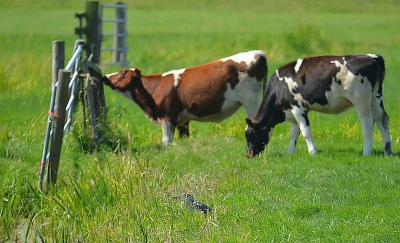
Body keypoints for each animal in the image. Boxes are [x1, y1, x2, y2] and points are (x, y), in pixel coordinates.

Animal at [103, 49, 268, 144]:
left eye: (123, 73)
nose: (105, 76)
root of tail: (258, 53)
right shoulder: (182, 120)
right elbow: (184, 138)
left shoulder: (167, 118)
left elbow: (166, 141)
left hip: (251, 101)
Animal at [245, 53, 392, 158]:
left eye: (250, 134)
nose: (248, 154)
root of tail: (372, 57)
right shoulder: (293, 110)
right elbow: (294, 132)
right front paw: (290, 151)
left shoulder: (297, 106)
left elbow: (305, 130)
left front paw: (312, 152)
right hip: (376, 97)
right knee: (382, 119)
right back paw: (388, 151)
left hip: (361, 99)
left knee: (367, 123)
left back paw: (366, 152)